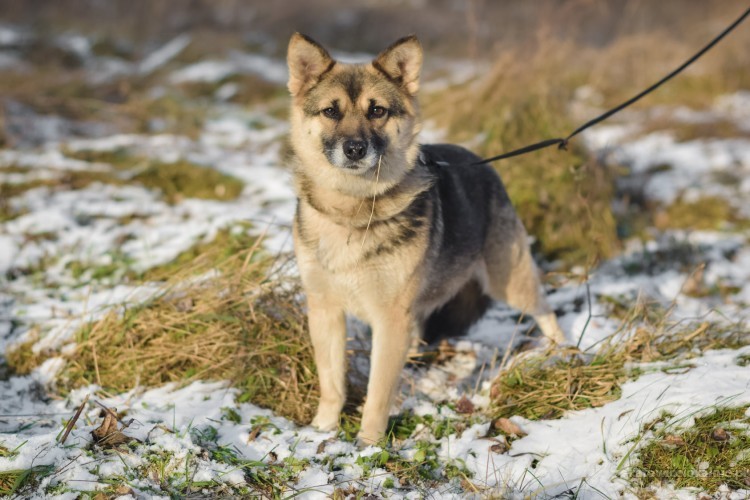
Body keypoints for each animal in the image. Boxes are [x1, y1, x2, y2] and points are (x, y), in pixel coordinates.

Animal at [286, 33, 564, 444]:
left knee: (545, 310)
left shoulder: (389, 320)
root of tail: (477, 159)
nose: (354, 149)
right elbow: (332, 382)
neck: (353, 209)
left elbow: (377, 394)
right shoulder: (325, 310)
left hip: (509, 282)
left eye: (377, 111)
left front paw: (368, 445)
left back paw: (563, 353)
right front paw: (322, 431)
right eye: (330, 112)